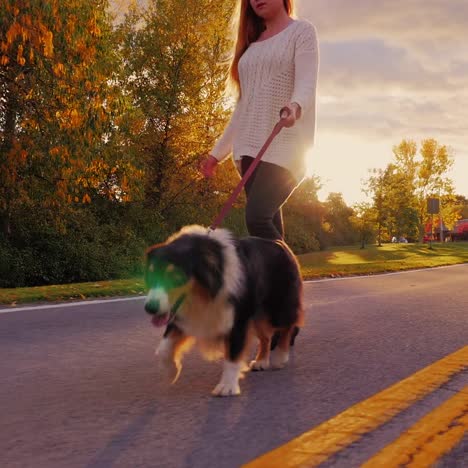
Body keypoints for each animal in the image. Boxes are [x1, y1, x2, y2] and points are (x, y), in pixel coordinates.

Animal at [144, 225, 304, 396]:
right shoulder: (181, 315)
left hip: (278, 304)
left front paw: (227, 386)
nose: (150, 308)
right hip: (256, 314)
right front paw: (171, 371)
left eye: (175, 276)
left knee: (287, 327)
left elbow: (233, 353)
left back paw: (280, 357)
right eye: (151, 275)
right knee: (266, 337)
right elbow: (163, 348)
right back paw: (261, 361)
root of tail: (281, 243)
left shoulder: (238, 317)